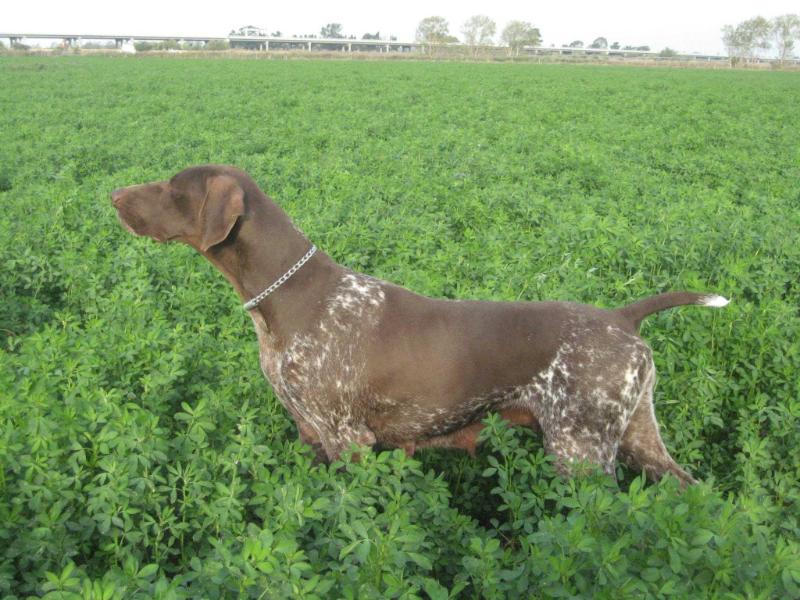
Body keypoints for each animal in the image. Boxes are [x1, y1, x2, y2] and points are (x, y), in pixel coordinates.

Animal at [114, 165, 732, 488]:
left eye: (173, 188)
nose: (114, 193)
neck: (286, 297)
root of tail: (620, 318)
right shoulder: (310, 433)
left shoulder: (349, 438)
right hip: (635, 439)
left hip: (580, 450)